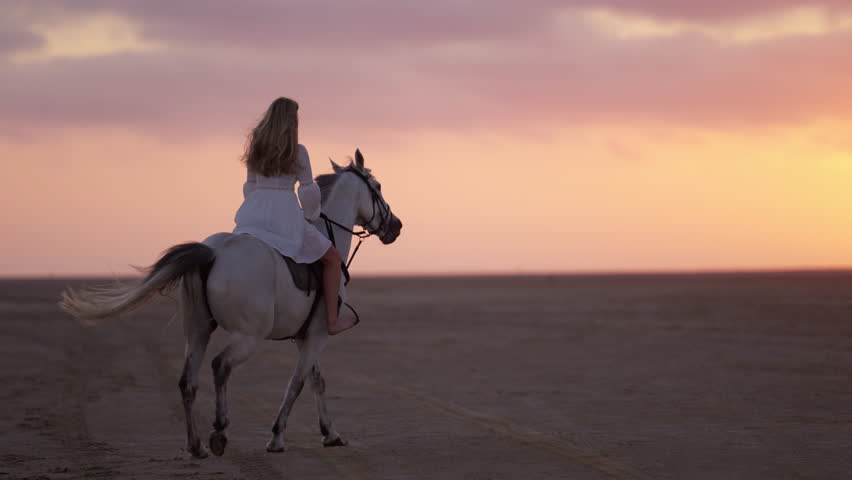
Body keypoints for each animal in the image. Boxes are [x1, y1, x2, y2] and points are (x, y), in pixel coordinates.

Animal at [60, 150, 403, 458]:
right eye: (378, 186)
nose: (396, 226)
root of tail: (212, 253)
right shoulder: (317, 335)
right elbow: (297, 383)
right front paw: (277, 437)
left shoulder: (305, 336)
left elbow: (316, 380)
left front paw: (330, 433)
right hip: (247, 337)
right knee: (219, 366)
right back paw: (219, 430)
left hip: (198, 332)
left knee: (187, 381)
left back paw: (195, 445)